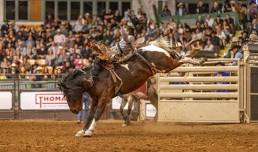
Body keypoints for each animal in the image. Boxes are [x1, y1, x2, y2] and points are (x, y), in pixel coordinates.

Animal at [58, 37, 204, 137]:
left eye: (68, 94)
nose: (74, 110)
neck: (95, 77)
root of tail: (154, 47)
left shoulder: (105, 98)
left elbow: (98, 114)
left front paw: (89, 131)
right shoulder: (95, 99)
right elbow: (90, 115)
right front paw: (82, 131)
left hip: (167, 65)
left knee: (181, 59)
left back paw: (196, 59)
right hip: (157, 83)